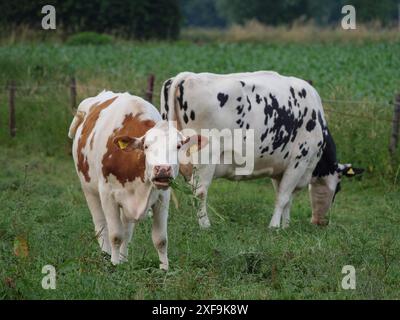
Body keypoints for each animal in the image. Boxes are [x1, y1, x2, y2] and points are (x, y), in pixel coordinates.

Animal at [69, 90, 203, 268]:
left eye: (178, 146)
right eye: (146, 146)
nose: (162, 169)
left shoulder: (162, 197)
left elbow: (160, 239)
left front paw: (164, 268)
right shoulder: (108, 195)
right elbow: (115, 235)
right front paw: (114, 264)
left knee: (127, 230)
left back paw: (123, 259)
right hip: (89, 190)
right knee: (101, 226)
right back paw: (106, 255)